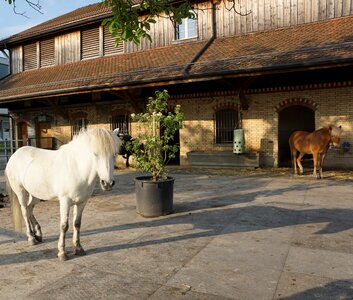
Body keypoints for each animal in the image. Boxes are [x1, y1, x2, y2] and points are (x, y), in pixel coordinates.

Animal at [5, 127, 121, 262]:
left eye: (114, 154)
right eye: (95, 154)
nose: (108, 183)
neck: (77, 169)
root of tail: (15, 154)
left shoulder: (82, 202)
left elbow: (77, 224)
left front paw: (78, 248)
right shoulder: (65, 201)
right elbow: (64, 226)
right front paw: (62, 253)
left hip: (36, 194)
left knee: (29, 209)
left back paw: (38, 234)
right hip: (21, 192)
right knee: (24, 211)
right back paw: (31, 238)